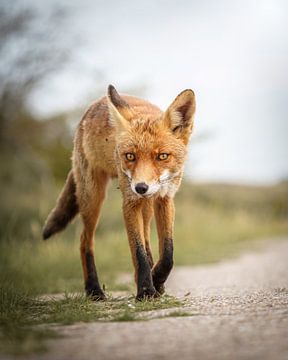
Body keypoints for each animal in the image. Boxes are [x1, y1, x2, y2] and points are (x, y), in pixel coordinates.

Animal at [42, 86, 196, 300]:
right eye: (130, 156)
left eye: (162, 156)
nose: (141, 187)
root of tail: (93, 106)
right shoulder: (130, 202)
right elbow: (138, 252)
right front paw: (146, 290)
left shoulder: (165, 198)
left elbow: (167, 254)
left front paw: (156, 280)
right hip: (93, 196)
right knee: (84, 240)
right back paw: (94, 290)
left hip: (145, 206)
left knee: (146, 239)